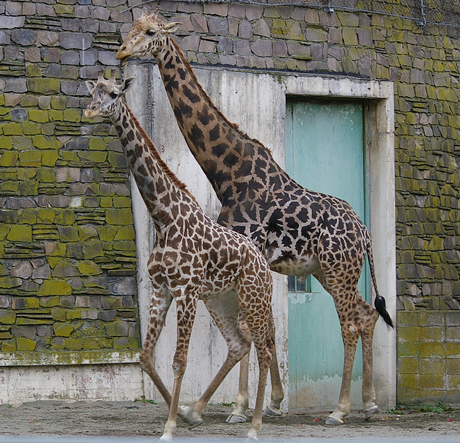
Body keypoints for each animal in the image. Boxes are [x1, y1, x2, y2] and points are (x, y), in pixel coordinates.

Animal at [84, 69, 274, 440]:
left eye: (114, 93)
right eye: (92, 91)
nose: (90, 111)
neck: (163, 218)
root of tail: (263, 262)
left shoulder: (185, 291)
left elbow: (179, 361)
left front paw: (170, 426)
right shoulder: (161, 289)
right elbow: (145, 357)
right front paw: (185, 415)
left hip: (253, 299)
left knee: (264, 349)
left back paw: (256, 425)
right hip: (221, 300)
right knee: (240, 344)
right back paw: (209, 411)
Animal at [117, 7, 394, 426]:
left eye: (150, 32)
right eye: (129, 27)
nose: (120, 52)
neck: (228, 174)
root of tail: (365, 233)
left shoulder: (250, 253)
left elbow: (252, 326)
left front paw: (239, 406)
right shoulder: (251, 260)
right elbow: (266, 327)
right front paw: (272, 401)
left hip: (338, 270)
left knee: (349, 322)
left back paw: (340, 409)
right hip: (328, 272)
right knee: (366, 314)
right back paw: (371, 403)